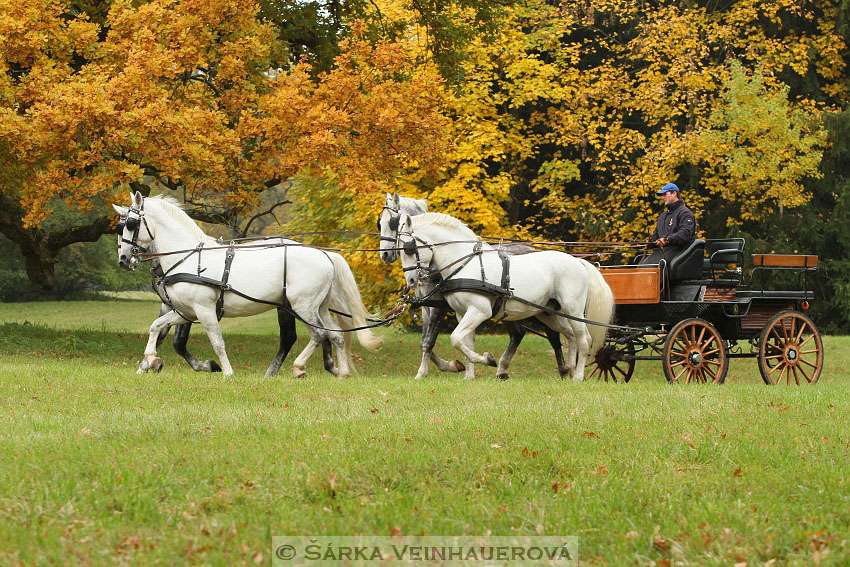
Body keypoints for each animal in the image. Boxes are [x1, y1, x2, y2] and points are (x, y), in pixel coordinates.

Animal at [114, 193, 380, 380]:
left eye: (131, 223)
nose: (124, 259)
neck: (188, 256)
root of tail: (324, 254)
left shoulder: (204, 310)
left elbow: (217, 341)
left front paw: (226, 371)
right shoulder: (185, 312)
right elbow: (156, 327)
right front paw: (150, 360)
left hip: (301, 307)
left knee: (317, 334)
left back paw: (298, 368)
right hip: (318, 307)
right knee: (334, 335)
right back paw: (341, 372)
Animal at [394, 213, 612, 382]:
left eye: (409, 248)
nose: (411, 280)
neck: (466, 263)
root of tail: (578, 262)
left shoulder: (479, 311)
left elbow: (456, 338)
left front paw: (487, 359)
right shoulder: (461, 313)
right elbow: (465, 342)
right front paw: (469, 375)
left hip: (573, 309)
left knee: (583, 339)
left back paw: (578, 376)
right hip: (548, 313)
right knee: (570, 337)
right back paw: (569, 369)